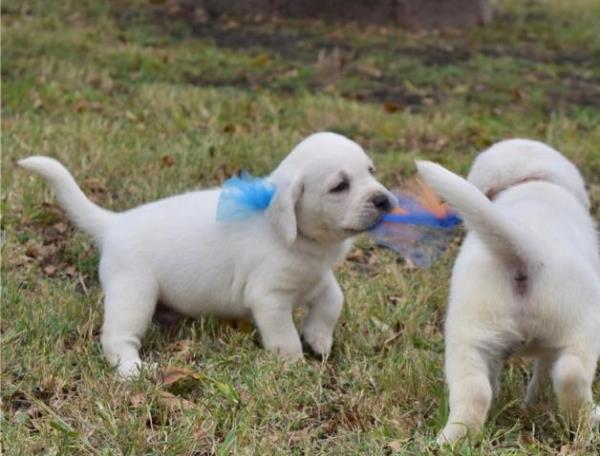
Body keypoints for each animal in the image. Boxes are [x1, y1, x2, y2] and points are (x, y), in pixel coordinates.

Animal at [19, 132, 394, 378]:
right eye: (339, 186)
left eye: (371, 171)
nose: (384, 200)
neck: (301, 238)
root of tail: (115, 222)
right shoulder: (269, 298)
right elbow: (285, 337)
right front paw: (294, 366)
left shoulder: (317, 277)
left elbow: (333, 299)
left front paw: (319, 338)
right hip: (133, 294)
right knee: (116, 339)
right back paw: (132, 368)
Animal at [418, 140, 600, 446]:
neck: (530, 182)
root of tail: (526, 253)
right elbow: (543, 375)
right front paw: (535, 403)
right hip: (583, 326)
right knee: (570, 375)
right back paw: (586, 423)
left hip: (468, 335)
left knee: (475, 392)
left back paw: (448, 440)